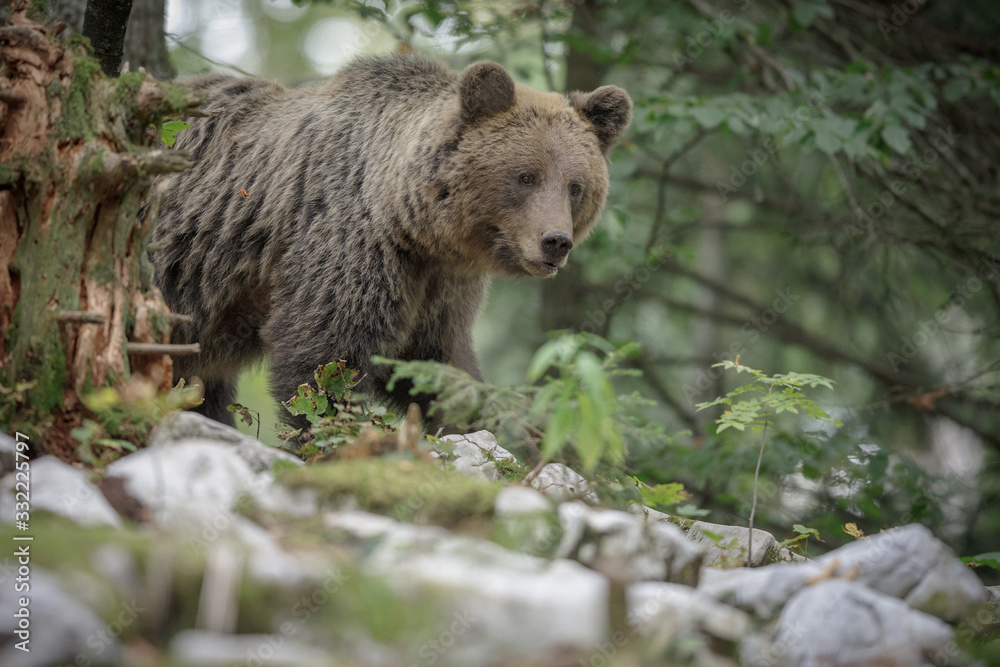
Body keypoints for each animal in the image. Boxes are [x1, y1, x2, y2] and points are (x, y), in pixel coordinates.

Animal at [150, 53, 632, 427]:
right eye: (526, 176)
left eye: (575, 186)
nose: (556, 241)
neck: (415, 225)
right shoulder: (352, 243)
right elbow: (325, 360)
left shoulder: (442, 287)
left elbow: (436, 364)